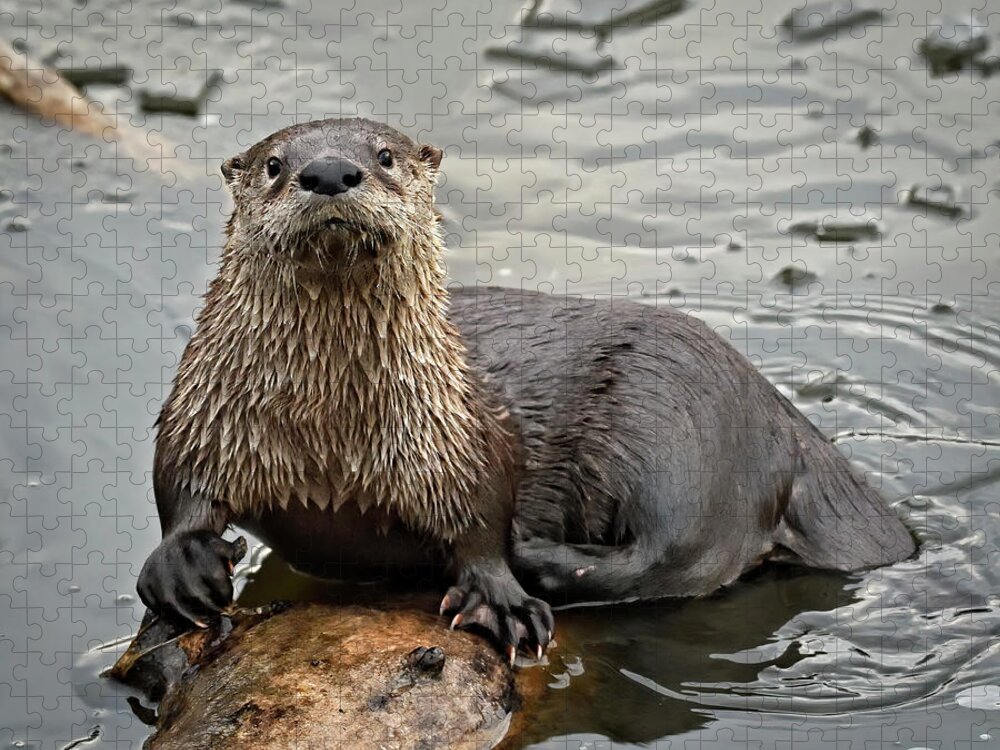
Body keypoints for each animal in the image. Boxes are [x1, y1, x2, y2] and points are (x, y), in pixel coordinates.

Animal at [137, 114, 916, 660]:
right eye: (274, 165)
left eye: (384, 156)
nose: (330, 171)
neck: (329, 436)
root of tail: (789, 424)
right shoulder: (205, 408)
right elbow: (178, 486)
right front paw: (182, 566)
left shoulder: (462, 435)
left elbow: (484, 516)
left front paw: (498, 595)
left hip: (679, 430)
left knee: (672, 560)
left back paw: (536, 559)